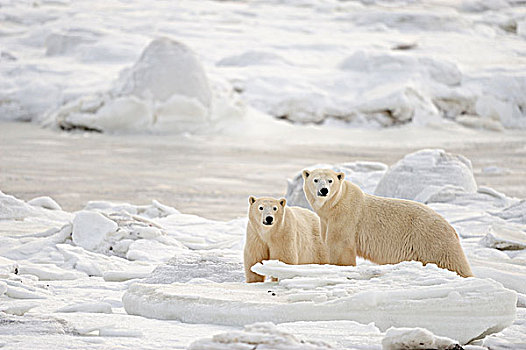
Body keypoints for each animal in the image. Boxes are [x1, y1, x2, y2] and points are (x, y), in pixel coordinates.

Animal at [304, 168, 476, 278]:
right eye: (315, 179)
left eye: (330, 180)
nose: (324, 190)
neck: (335, 205)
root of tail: (451, 228)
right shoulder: (326, 221)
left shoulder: (346, 218)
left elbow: (340, 248)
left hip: (431, 240)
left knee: (451, 261)